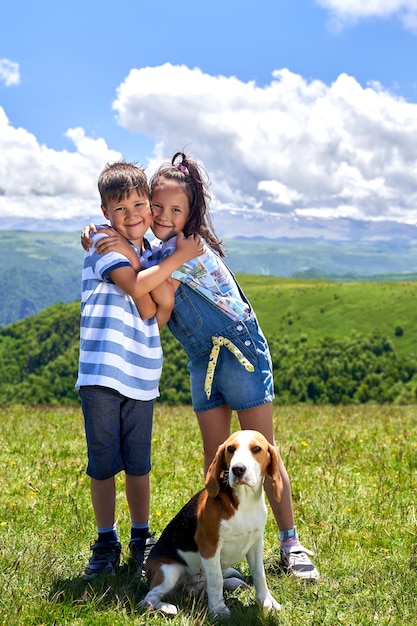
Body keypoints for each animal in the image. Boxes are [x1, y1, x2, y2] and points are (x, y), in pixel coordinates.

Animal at [141, 426, 282, 616]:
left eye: (256, 449)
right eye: (231, 449)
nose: (237, 469)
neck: (244, 503)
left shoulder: (256, 544)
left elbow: (260, 575)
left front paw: (267, 602)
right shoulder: (209, 546)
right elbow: (216, 581)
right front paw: (218, 609)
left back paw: (233, 582)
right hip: (169, 570)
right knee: (147, 599)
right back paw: (166, 607)